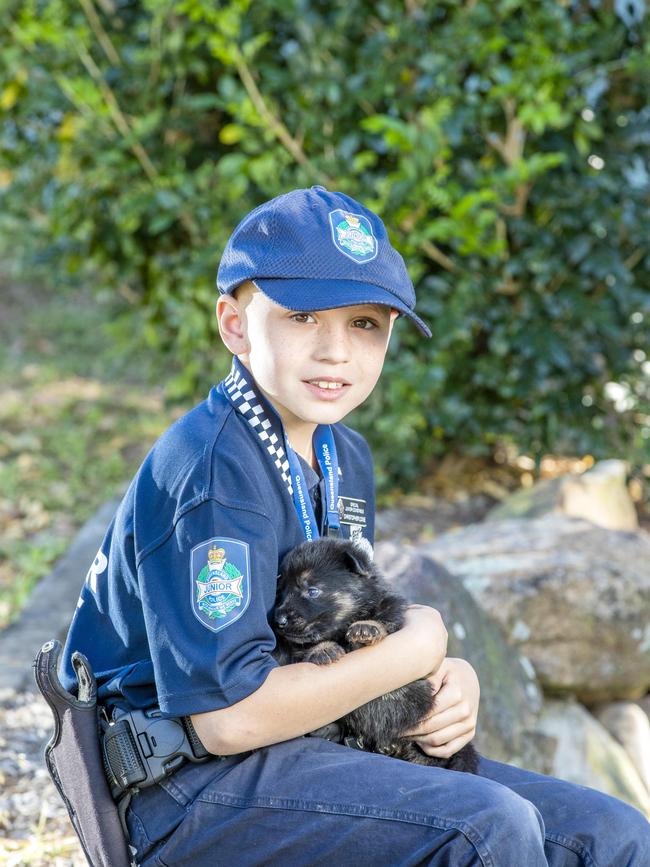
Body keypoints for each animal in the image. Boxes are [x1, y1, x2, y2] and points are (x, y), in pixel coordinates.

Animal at [270, 540, 478, 776]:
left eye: (312, 591)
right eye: (280, 592)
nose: (279, 620)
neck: (340, 631)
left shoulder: (391, 611)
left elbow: (382, 620)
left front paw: (367, 628)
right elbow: (308, 645)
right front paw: (323, 649)